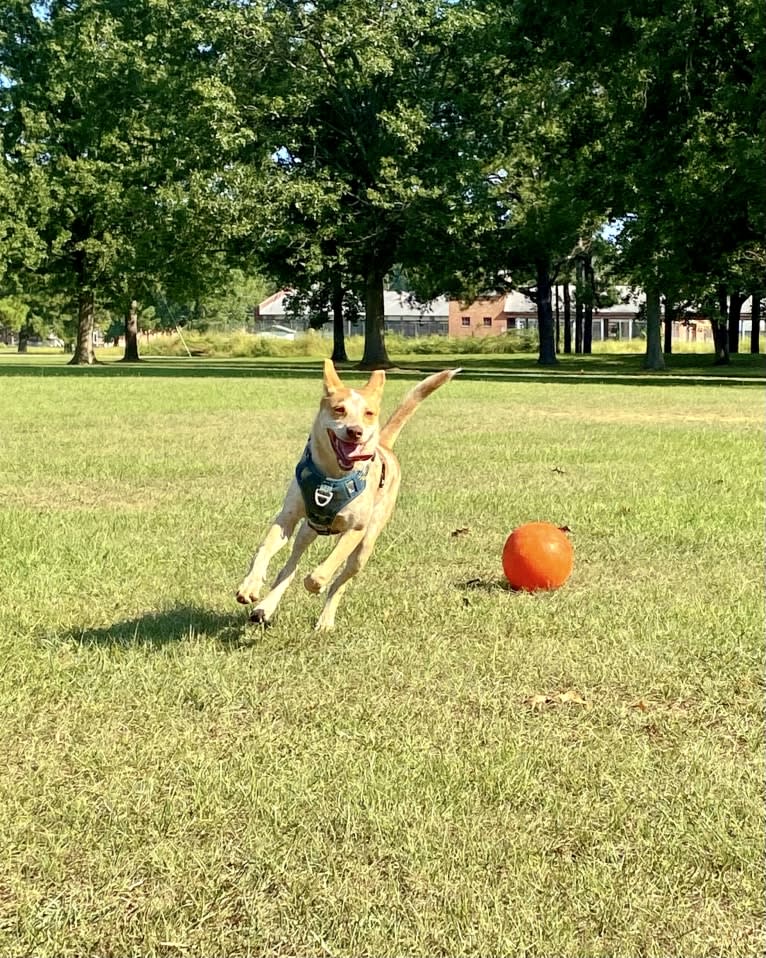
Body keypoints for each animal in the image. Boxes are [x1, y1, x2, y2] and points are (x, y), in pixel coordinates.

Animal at [237, 360, 460, 632]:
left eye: (369, 413)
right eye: (339, 409)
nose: (355, 431)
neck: (332, 477)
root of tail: (385, 445)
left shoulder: (356, 529)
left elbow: (328, 568)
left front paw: (315, 582)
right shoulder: (288, 518)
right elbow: (265, 548)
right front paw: (250, 586)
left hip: (366, 545)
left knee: (340, 581)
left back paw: (325, 619)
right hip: (307, 531)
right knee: (289, 568)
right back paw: (265, 608)